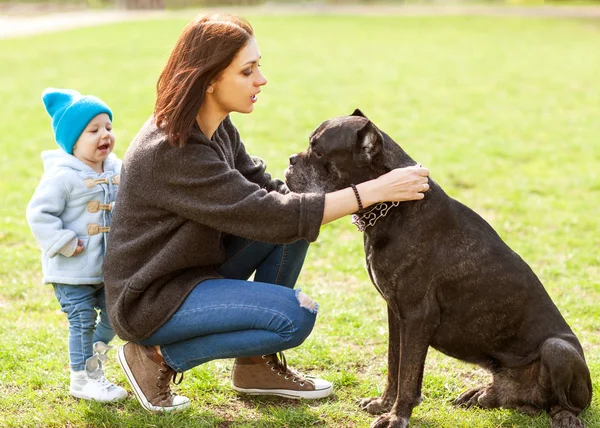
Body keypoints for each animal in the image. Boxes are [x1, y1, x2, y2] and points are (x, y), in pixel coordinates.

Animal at [284, 108, 592, 426]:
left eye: (318, 150)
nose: (291, 160)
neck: (394, 206)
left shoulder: (417, 316)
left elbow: (408, 374)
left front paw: (397, 416)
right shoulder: (396, 314)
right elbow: (395, 365)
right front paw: (383, 405)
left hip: (559, 349)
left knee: (569, 402)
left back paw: (563, 415)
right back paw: (484, 394)